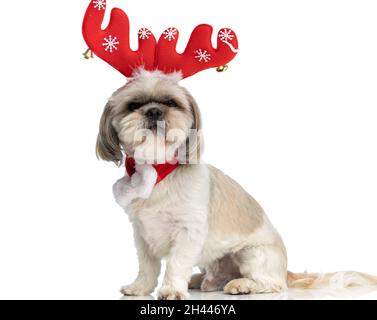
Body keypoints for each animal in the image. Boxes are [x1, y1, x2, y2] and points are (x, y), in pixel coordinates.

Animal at [96, 70, 376, 300]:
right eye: (133, 105)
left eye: (171, 103)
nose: (154, 111)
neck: (158, 171)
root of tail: (285, 269)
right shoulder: (142, 233)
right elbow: (147, 266)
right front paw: (140, 288)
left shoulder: (188, 232)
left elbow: (176, 263)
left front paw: (172, 290)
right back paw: (202, 280)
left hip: (251, 254)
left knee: (273, 284)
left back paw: (243, 284)